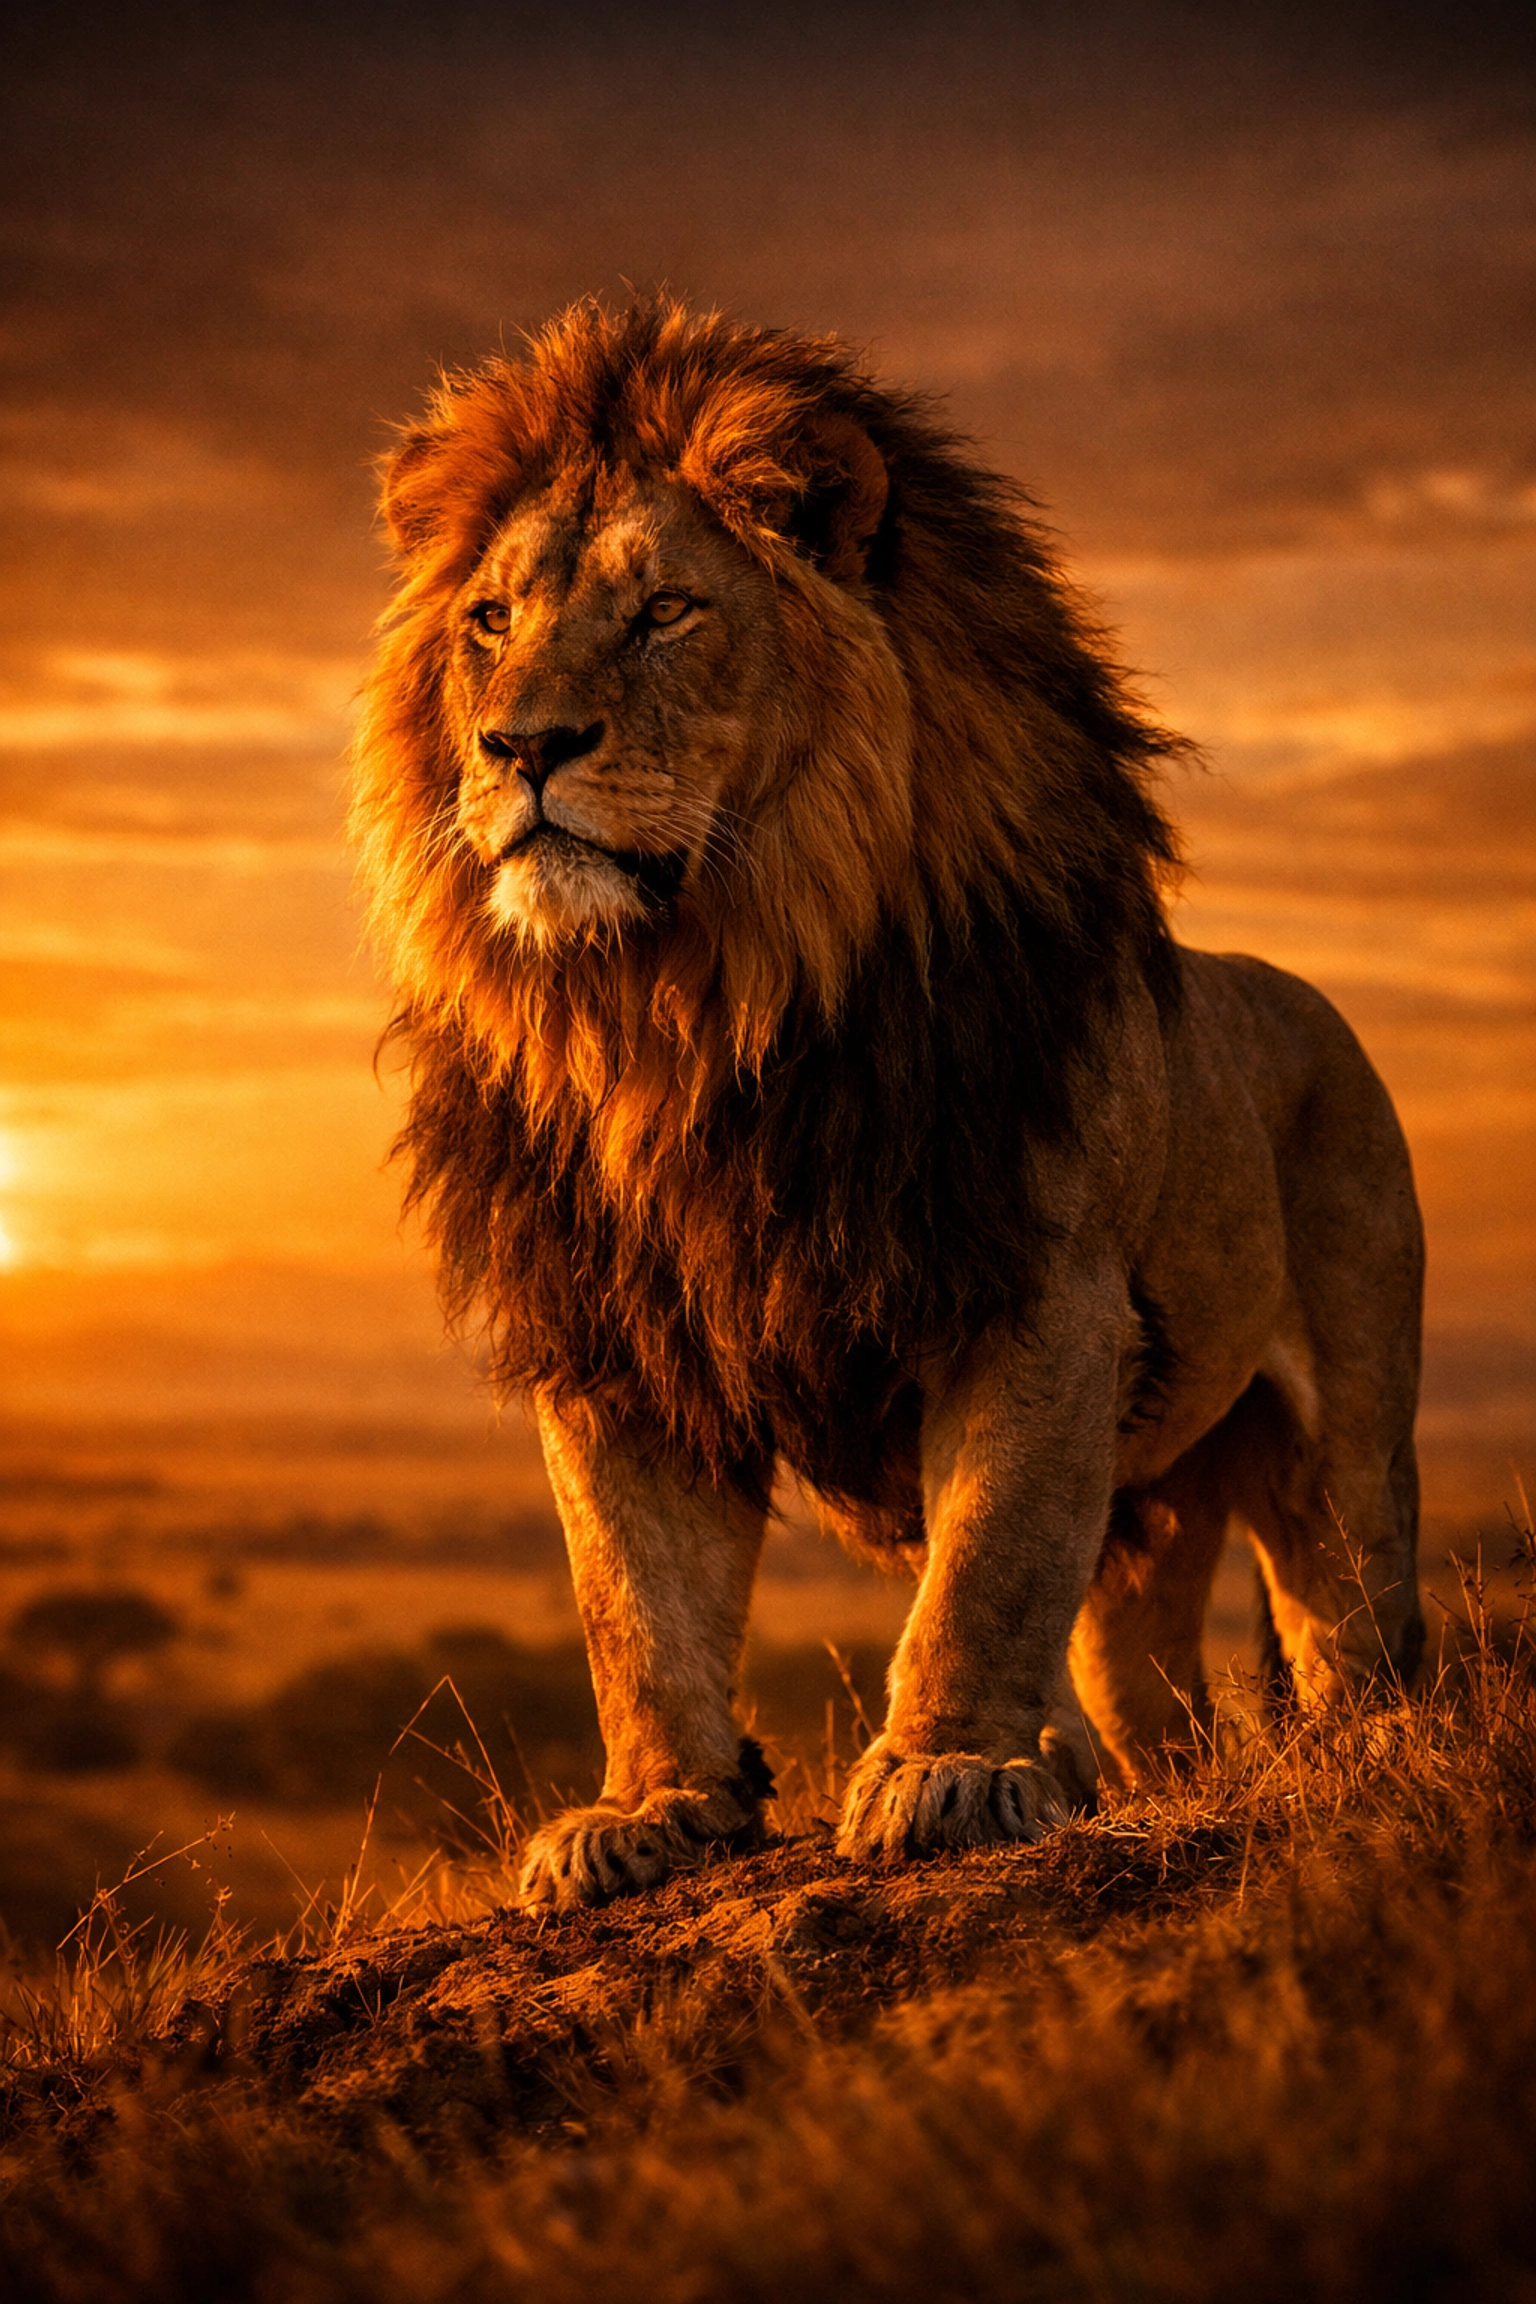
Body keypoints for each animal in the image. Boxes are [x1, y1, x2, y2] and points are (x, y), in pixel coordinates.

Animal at [350, 297, 1424, 1910]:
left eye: (668, 612)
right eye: (490, 623)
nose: (521, 748)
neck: (686, 1011)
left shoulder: (1038, 1295)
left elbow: (982, 1564)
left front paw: (949, 1773)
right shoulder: (614, 1330)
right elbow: (632, 1601)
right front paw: (650, 1810)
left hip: (1342, 1428)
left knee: (1353, 1610)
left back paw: (1365, 1754)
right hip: (1155, 1518)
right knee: (1149, 1692)